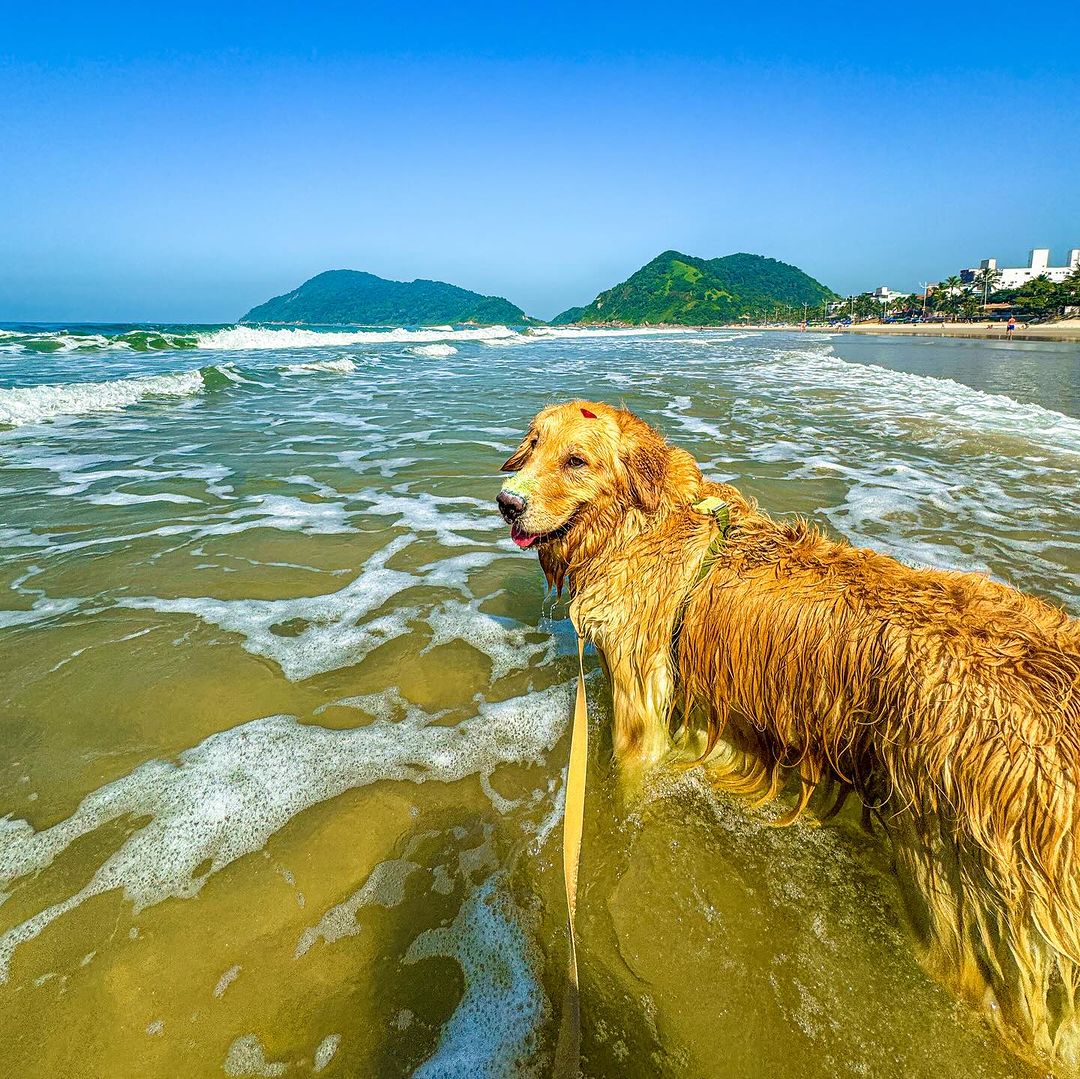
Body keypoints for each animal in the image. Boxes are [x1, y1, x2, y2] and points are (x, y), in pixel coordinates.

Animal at [494, 403, 1080, 1071]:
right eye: (531, 446)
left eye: (576, 460)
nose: (506, 502)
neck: (641, 526)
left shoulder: (640, 701)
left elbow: (630, 776)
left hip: (960, 891)